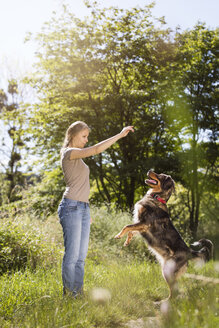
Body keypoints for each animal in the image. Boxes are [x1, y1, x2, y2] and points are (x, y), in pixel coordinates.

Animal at [114, 170, 212, 302]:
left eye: (160, 175)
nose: (149, 170)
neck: (156, 197)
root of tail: (189, 251)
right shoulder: (141, 225)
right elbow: (131, 230)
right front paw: (127, 241)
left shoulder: (145, 223)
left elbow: (127, 226)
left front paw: (118, 235)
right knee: (175, 290)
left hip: (167, 271)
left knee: (174, 292)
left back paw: (164, 302)